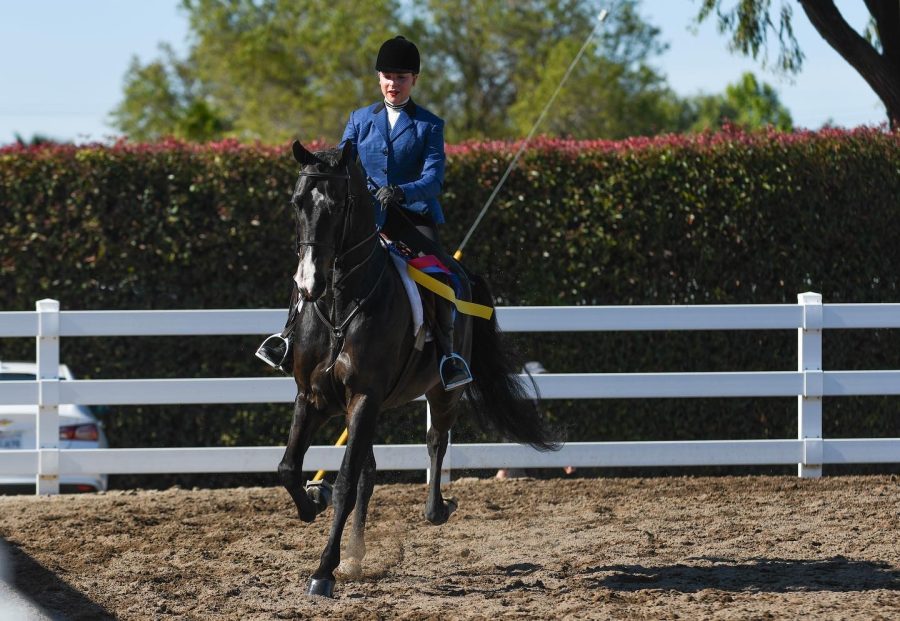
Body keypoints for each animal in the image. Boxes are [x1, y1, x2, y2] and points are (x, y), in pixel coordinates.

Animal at [278, 139, 560, 596]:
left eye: (338, 205)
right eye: (297, 202)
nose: (308, 284)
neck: (339, 303)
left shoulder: (365, 397)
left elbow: (344, 482)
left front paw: (323, 572)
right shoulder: (312, 396)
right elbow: (289, 468)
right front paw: (314, 504)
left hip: (444, 391)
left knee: (434, 441)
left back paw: (438, 509)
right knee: (369, 472)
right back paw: (355, 556)